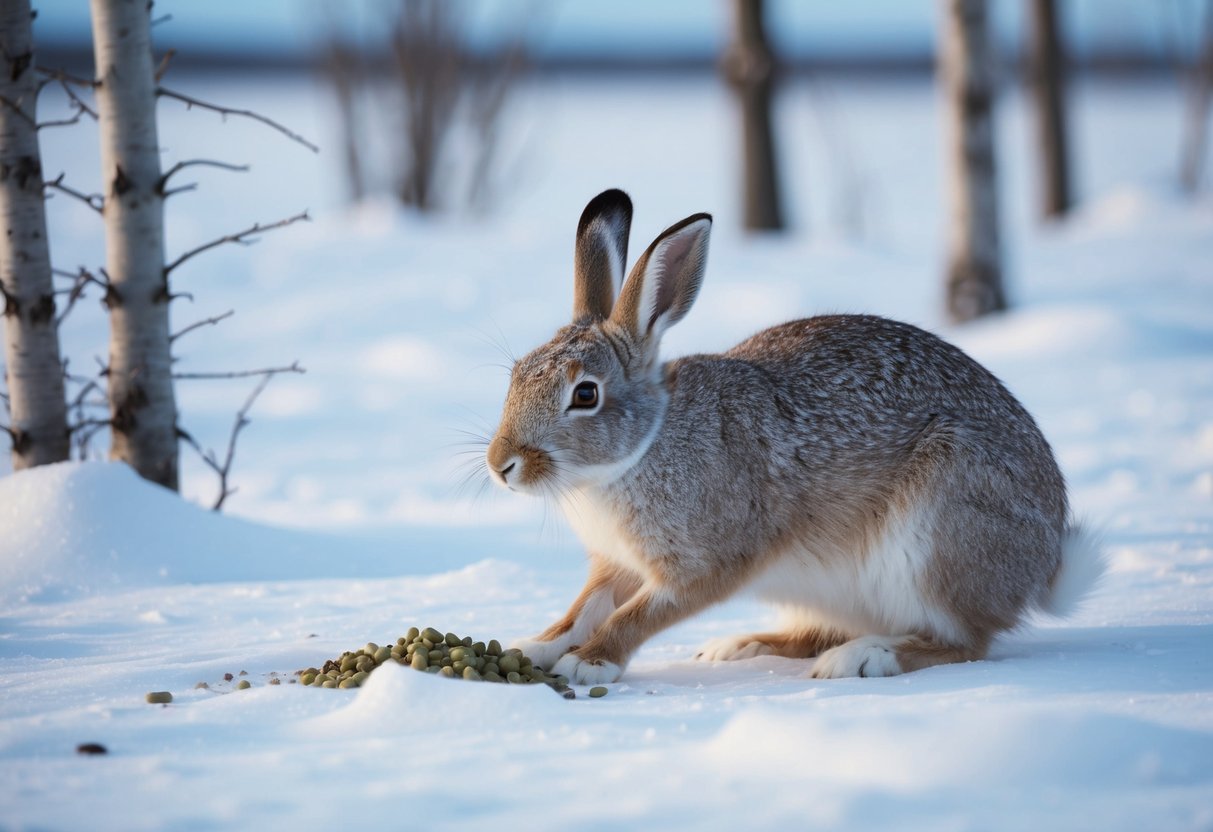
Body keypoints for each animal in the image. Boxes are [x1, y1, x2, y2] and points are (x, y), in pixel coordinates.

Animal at [485, 188, 1103, 686]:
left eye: (585, 395)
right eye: (516, 374)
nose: (500, 464)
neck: (641, 448)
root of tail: (1044, 565)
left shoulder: (705, 562)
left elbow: (636, 614)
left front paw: (590, 663)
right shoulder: (616, 564)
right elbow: (584, 609)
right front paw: (534, 647)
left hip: (938, 533)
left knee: (966, 642)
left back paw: (863, 659)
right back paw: (740, 646)